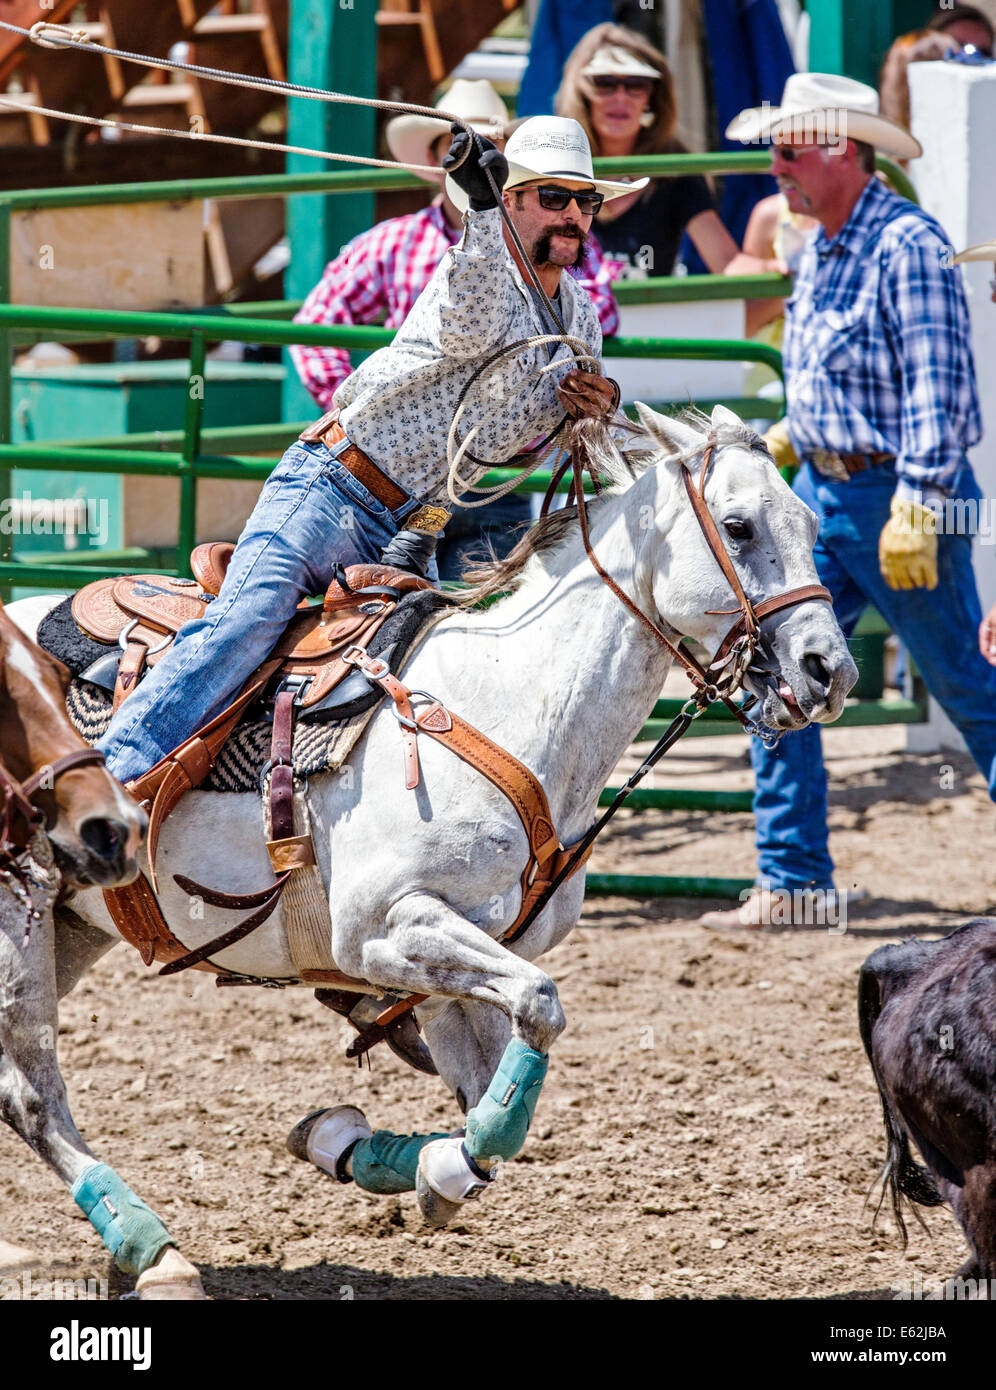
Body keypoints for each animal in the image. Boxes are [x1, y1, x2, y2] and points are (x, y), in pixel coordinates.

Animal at [4, 404, 856, 1297]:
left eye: (808, 523)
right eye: (740, 524)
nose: (829, 671)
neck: (507, 700)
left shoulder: (454, 964)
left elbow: (494, 1109)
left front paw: (365, 1150)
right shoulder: (386, 929)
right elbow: (542, 1006)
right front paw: (399, 1158)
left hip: (74, 924)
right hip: (21, 916)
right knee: (32, 1089)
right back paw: (155, 1251)